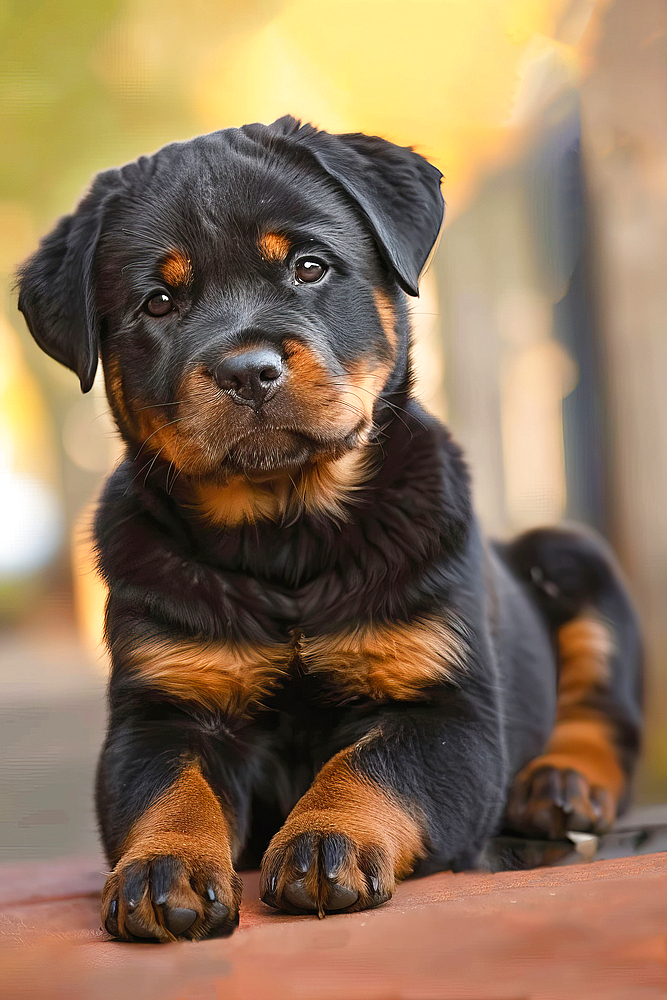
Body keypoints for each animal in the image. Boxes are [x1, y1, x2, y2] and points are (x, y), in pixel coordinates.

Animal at [17, 117, 640, 936]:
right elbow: (167, 789)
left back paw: (561, 785)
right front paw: (162, 870)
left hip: (571, 553)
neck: (287, 530)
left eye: (309, 266)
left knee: (604, 712)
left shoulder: (446, 711)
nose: (247, 369)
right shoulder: (162, 709)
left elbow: (369, 767)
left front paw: (325, 842)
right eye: (157, 303)